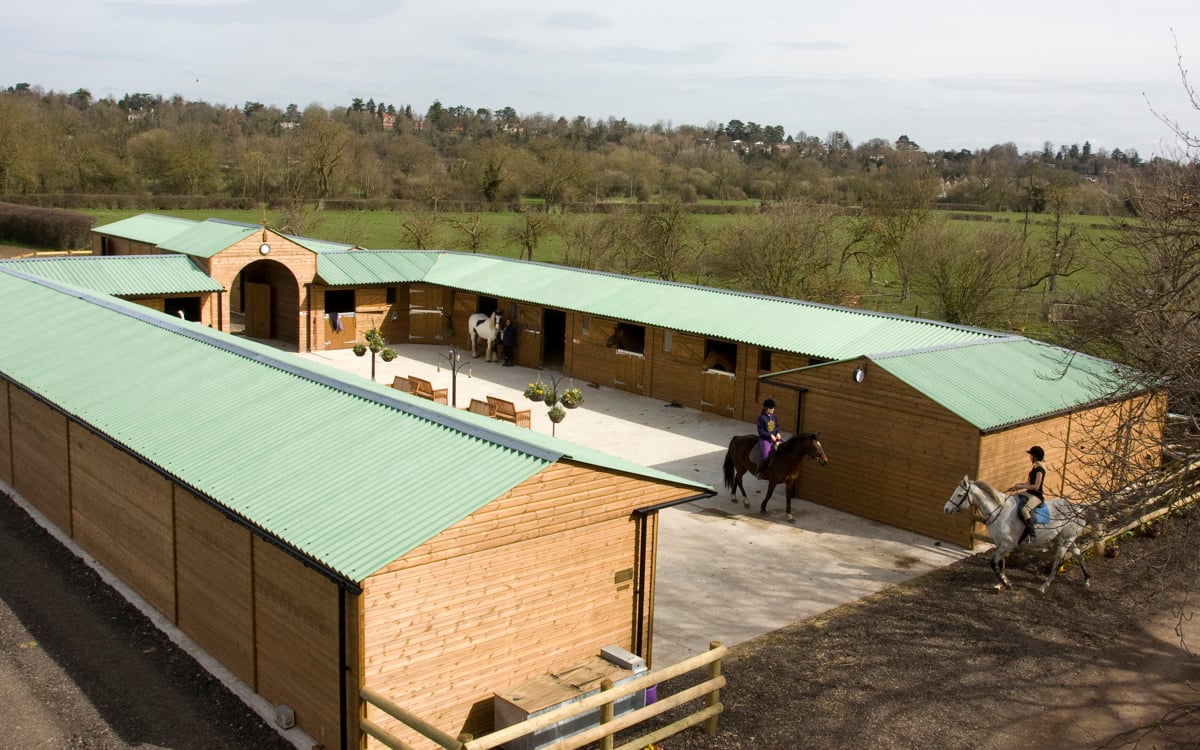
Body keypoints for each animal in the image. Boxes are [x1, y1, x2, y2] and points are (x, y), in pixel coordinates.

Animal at [940, 477, 1099, 592]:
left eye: (960, 494)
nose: (946, 509)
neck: (998, 510)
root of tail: (1078, 508)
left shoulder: (1008, 544)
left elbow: (993, 563)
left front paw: (1006, 583)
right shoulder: (1000, 543)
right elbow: (1001, 564)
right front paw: (1000, 584)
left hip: (1065, 540)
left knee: (1058, 561)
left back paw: (1043, 586)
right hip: (1067, 538)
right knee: (1078, 553)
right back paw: (1087, 580)